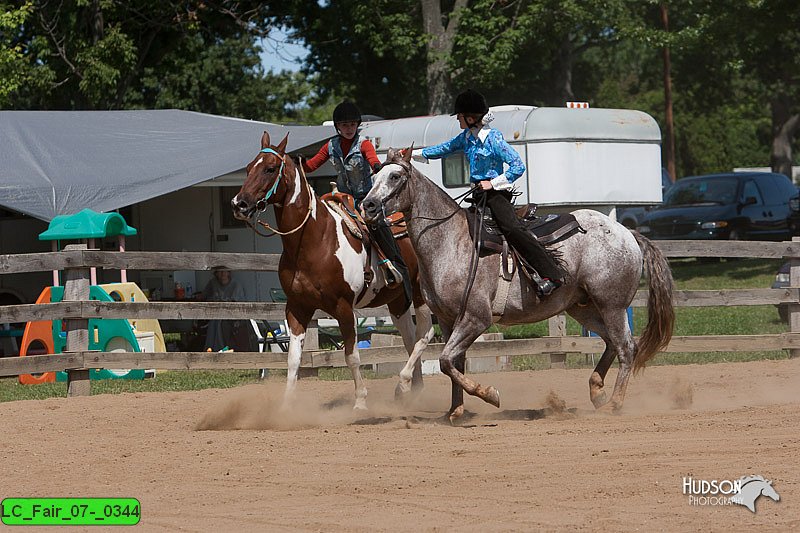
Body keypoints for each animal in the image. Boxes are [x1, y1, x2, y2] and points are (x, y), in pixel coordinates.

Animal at [228, 132, 434, 408]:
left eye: (270, 169)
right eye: (250, 168)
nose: (239, 204)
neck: (314, 241)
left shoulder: (344, 308)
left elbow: (352, 356)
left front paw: (360, 402)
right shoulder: (297, 308)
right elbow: (293, 359)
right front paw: (286, 407)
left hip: (420, 294)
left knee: (425, 333)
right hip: (398, 300)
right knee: (410, 340)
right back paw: (412, 390)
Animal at [362, 148, 676, 422]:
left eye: (395, 177)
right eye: (373, 177)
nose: (368, 205)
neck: (452, 241)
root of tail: (627, 233)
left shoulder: (476, 318)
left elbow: (446, 361)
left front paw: (489, 394)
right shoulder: (450, 321)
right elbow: (453, 363)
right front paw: (455, 411)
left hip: (612, 305)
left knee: (626, 347)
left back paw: (614, 403)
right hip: (582, 307)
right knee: (611, 342)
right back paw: (597, 391)